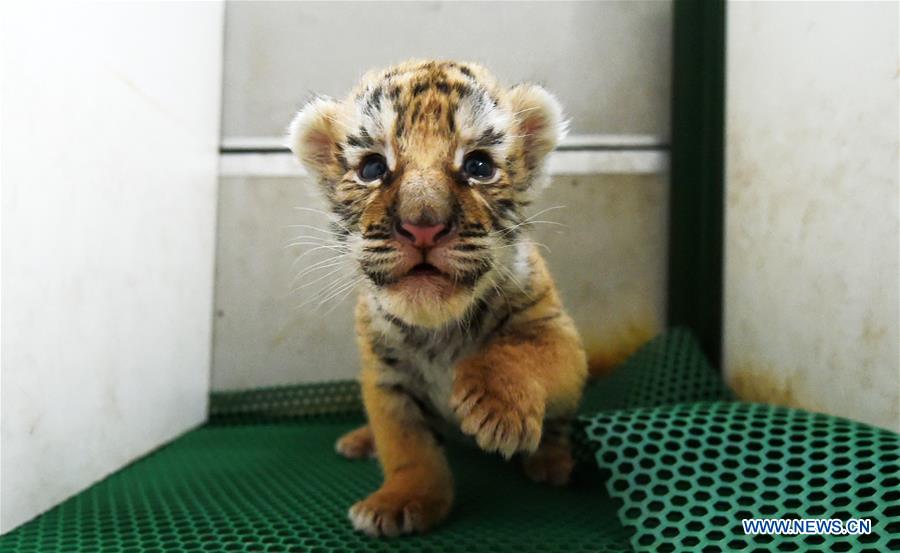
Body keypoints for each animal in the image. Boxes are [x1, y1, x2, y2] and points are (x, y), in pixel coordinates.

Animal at [288, 59, 592, 536]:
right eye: (373, 168)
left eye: (479, 165)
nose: (423, 224)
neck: (438, 329)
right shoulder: (386, 377)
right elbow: (407, 447)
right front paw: (401, 501)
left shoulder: (557, 332)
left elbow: (521, 353)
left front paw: (496, 408)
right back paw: (359, 441)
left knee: (557, 427)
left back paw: (552, 463)